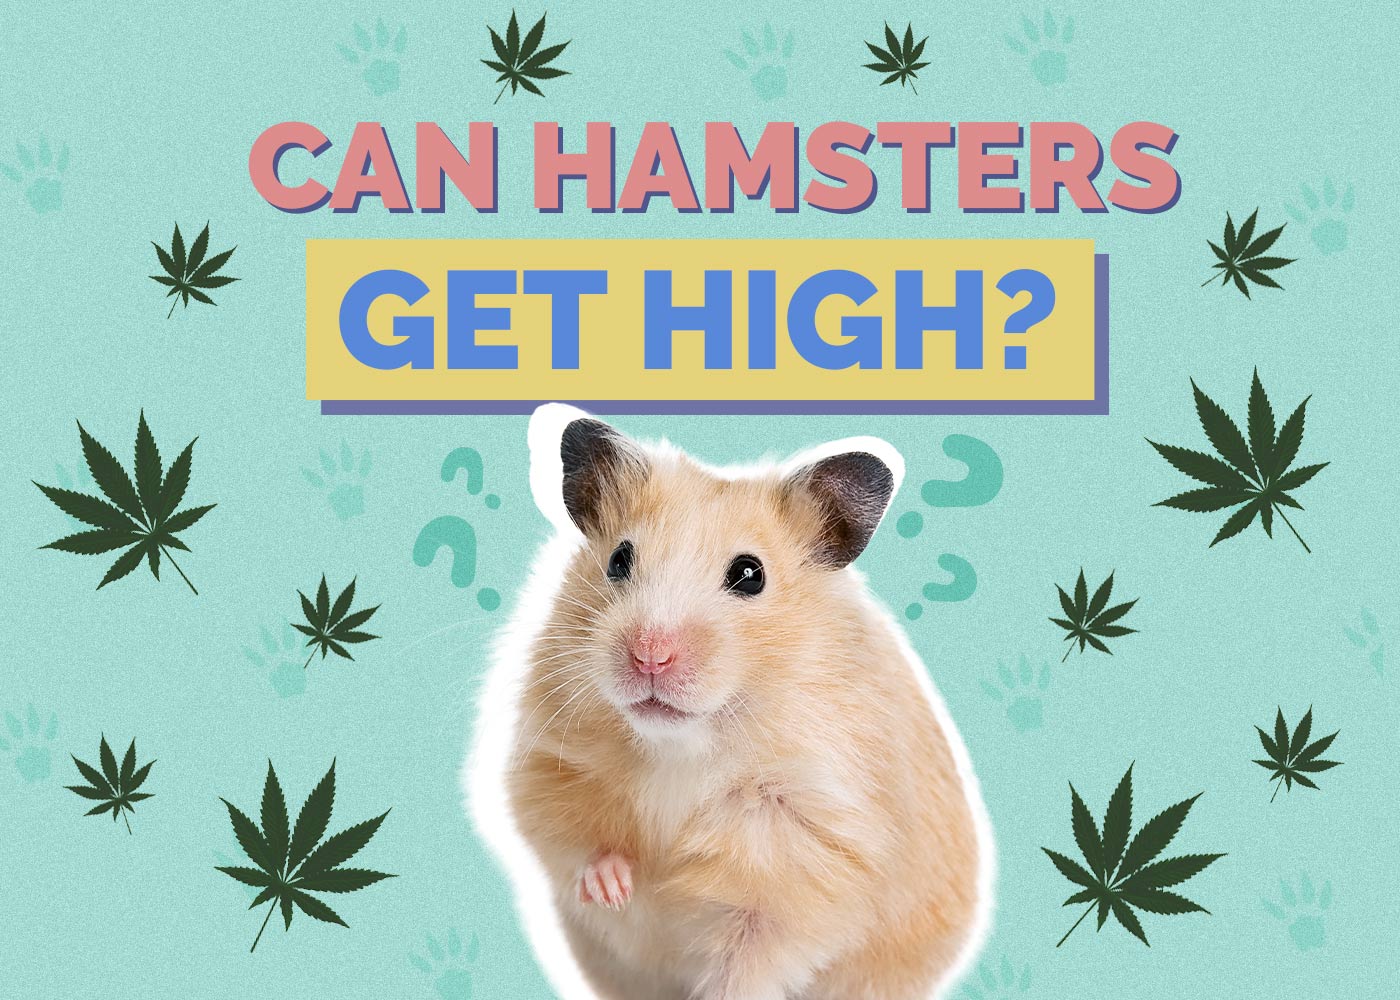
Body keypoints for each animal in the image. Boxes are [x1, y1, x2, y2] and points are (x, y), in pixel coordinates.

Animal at [469, 404, 992, 1000]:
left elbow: (753, 954)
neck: (682, 745)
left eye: (749, 575)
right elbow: (572, 840)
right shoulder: (549, 762)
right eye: (619, 559)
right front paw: (615, 888)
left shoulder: (809, 852)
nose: (649, 655)